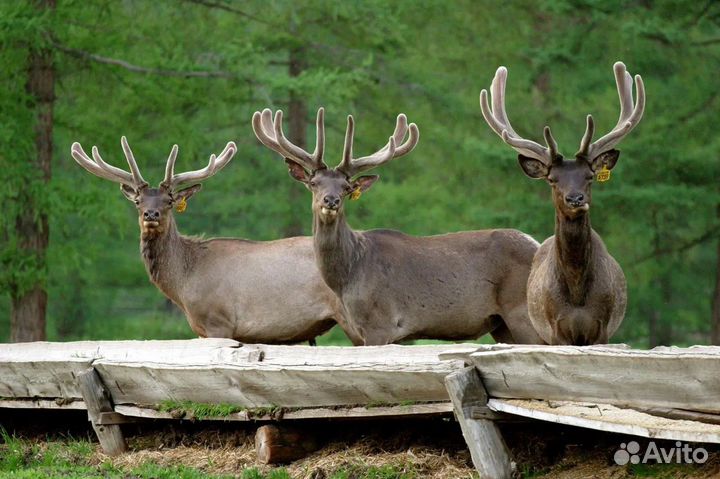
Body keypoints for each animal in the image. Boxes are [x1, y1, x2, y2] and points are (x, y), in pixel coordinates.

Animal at [250, 107, 544, 346]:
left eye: (346, 187)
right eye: (314, 183)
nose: (330, 200)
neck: (349, 276)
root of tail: (537, 244)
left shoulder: (380, 323)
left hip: (523, 313)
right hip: (501, 324)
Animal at [480, 62, 644, 344]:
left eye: (589, 176)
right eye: (552, 179)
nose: (575, 198)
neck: (577, 296)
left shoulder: (603, 328)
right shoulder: (555, 329)